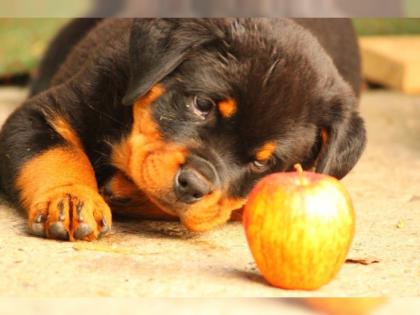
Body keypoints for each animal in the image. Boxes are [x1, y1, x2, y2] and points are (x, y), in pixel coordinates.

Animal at [0, 18, 364, 242]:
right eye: (202, 104)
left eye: (263, 162)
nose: (193, 184)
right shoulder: (42, 111)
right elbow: (54, 154)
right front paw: (70, 199)